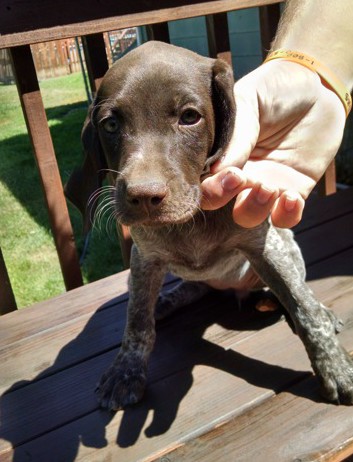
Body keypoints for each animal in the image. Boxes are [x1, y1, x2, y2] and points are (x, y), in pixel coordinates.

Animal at [66, 39, 352, 410]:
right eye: (111, 125)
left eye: (190, 117)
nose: (142, 197)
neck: (191, 220)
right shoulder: (145, 259)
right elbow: (137, 322)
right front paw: (126, 370)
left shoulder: (264, 243)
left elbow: (303, 309)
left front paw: (335, 367)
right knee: (193, 288)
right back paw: (167, 300)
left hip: (287, 242)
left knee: (300, 288)